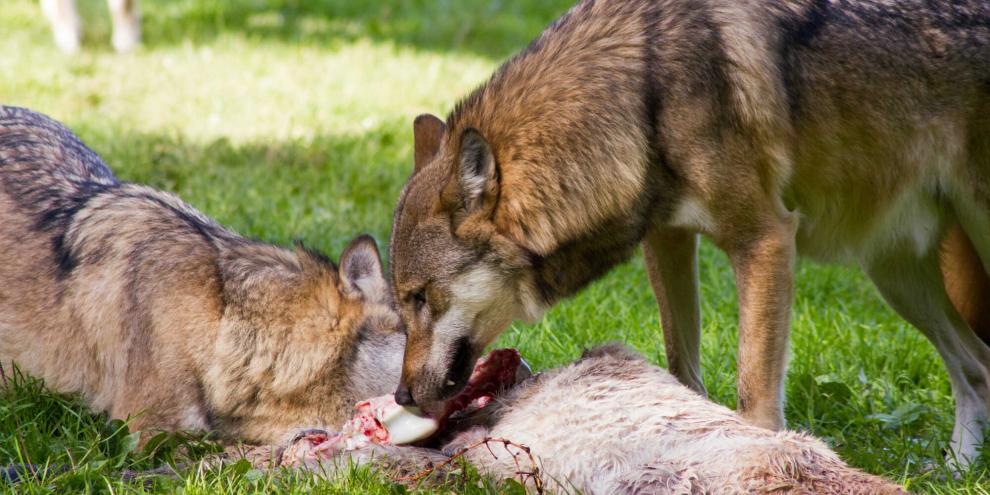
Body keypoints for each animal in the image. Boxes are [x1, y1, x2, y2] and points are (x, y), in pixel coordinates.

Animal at [388, 0, 990, 466]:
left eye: (420, 297)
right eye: (402, 302)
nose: (401, 393)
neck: (643, 99)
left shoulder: (766, 241)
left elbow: (754, 396)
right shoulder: (667, 241)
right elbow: (682, 370)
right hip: (896, 278)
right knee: (977, 365)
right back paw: (957, 469)